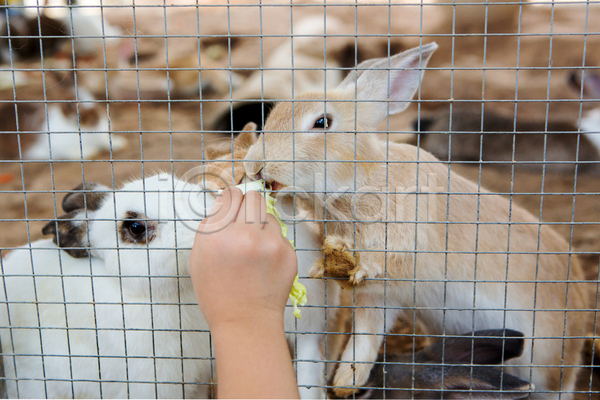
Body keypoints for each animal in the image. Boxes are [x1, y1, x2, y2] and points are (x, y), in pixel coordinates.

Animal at [243, 42, 592, 398]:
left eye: (322, 122)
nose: (254, 165)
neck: (361, 178)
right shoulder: (380, 299)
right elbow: (365, 339)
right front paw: (346, 382)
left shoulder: (399, 255)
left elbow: (379, 267)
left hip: (548, 369)